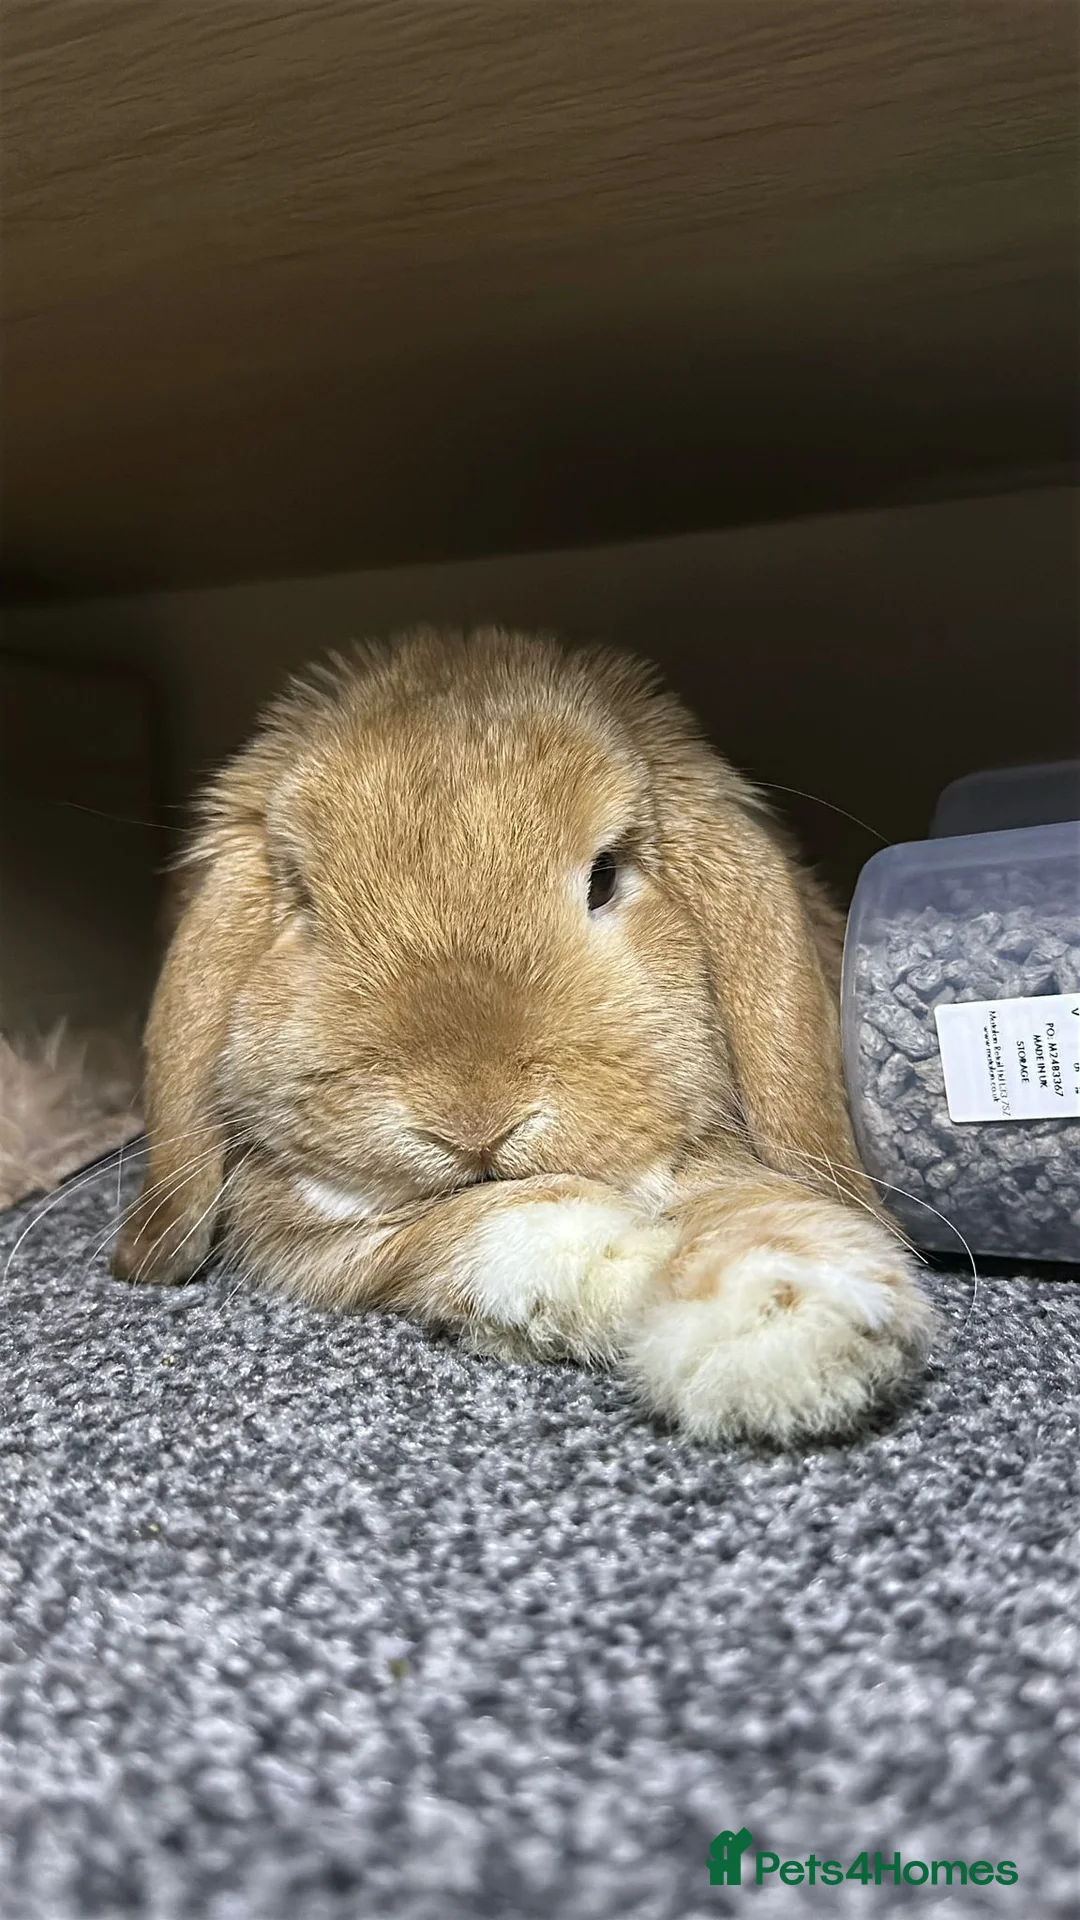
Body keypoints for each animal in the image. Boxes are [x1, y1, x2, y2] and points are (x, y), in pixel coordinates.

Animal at [112, 626, 937, 1440]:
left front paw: (793, 1322)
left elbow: (729, 1193)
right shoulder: (305, 1231)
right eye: (307, 903)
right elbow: (476, 1221)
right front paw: (613, 1270)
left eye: (604, 876)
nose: (472, 1124)